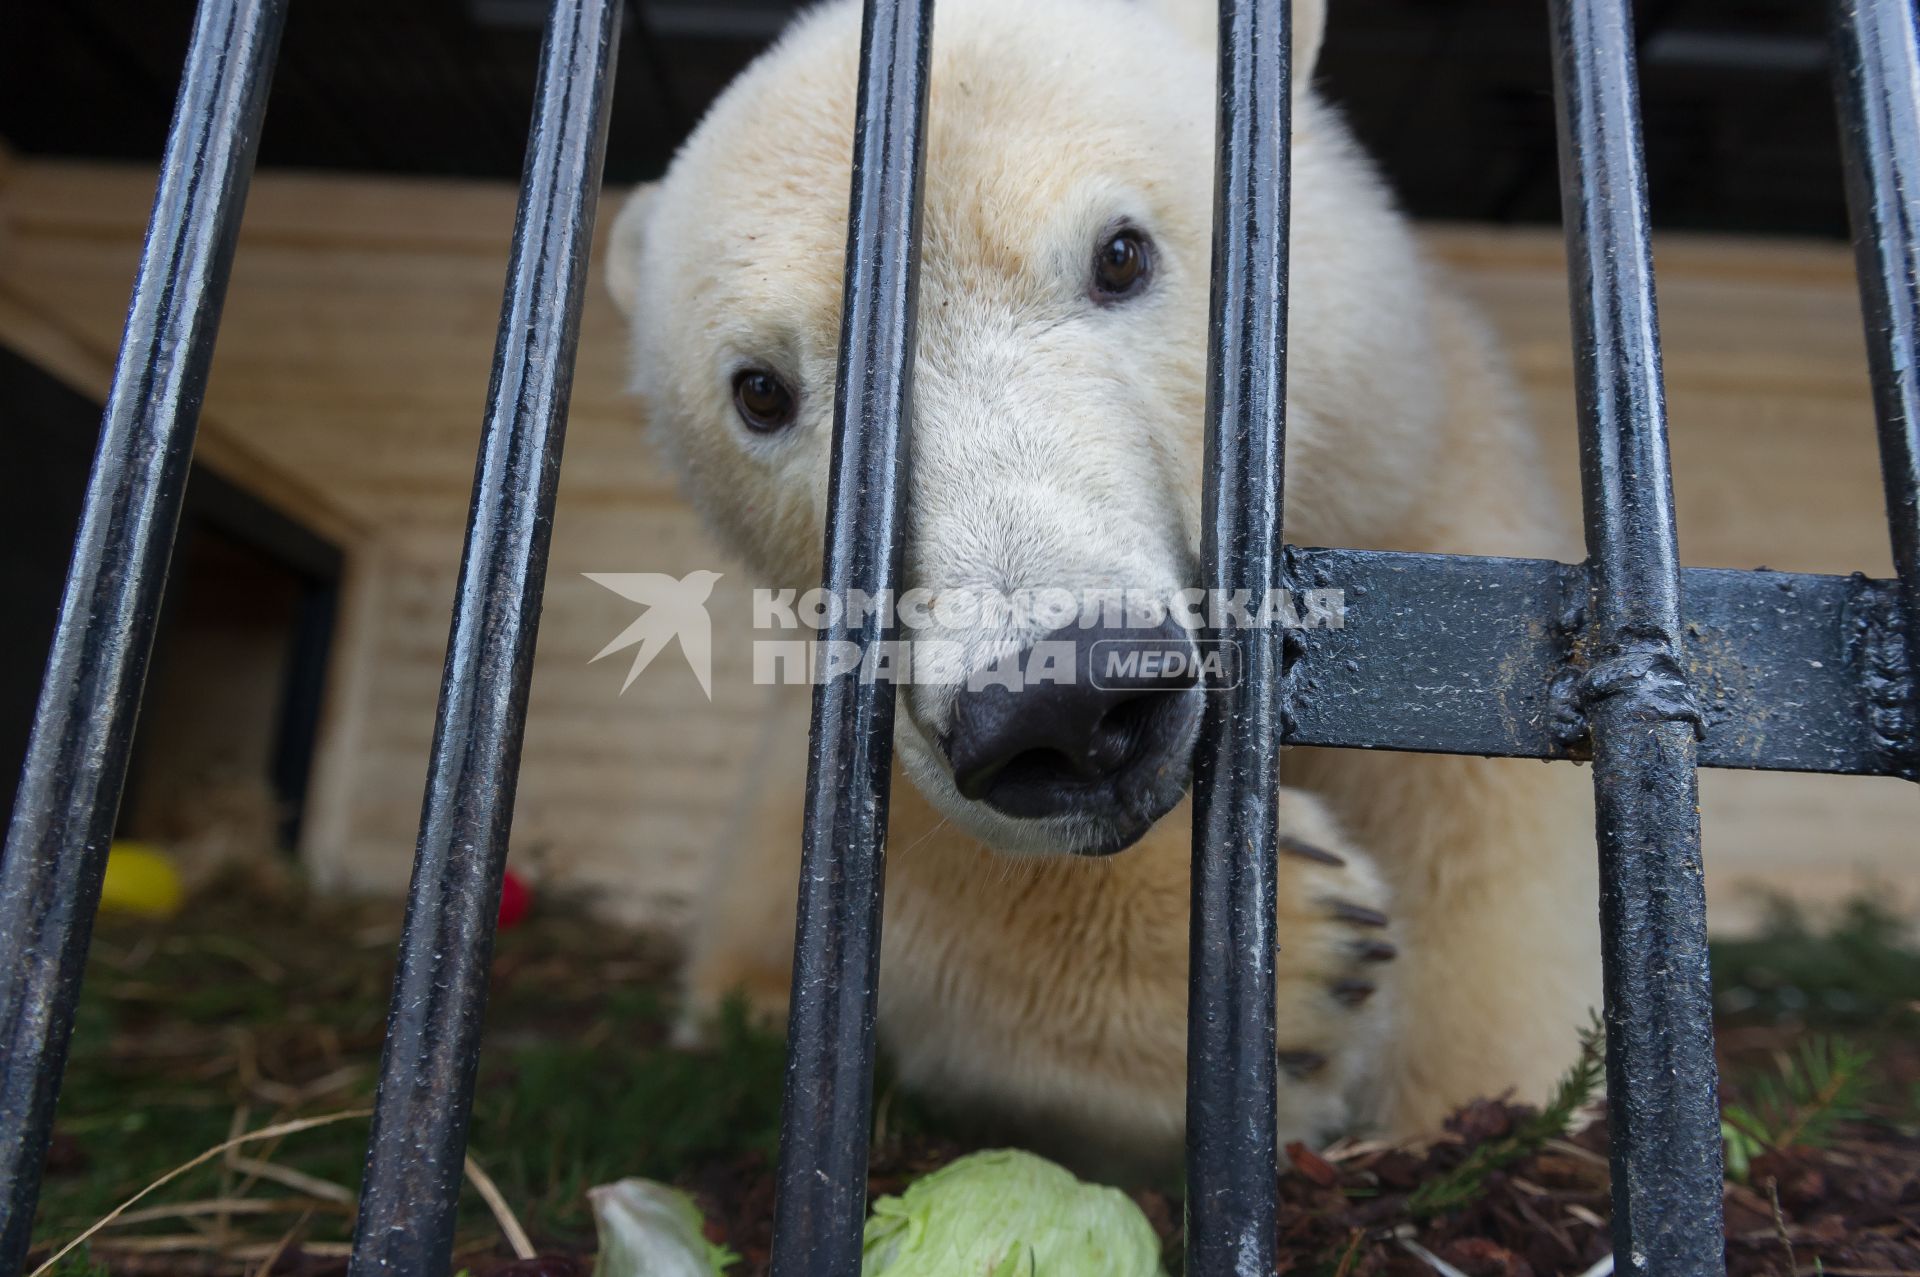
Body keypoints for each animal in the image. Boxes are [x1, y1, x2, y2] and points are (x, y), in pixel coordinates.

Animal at [606, 0, 1597, 1167]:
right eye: (759, 391)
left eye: (1120, 253)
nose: (1063, 701)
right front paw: (1284, 957)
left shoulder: (1435, 515)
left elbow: (1477, 835)